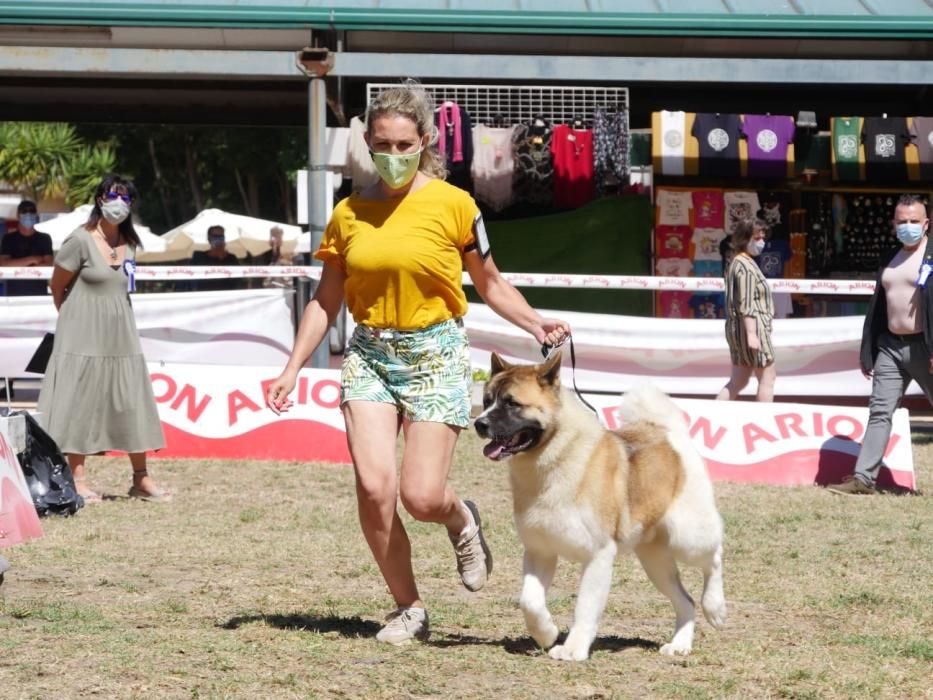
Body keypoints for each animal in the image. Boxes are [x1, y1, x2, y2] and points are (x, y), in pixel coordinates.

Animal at [474, 356, 728, 660]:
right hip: (654, 561)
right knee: (686, 600)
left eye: (512, 403)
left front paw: (572, 650)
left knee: (714, 557)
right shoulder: (540, 551)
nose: (478, 424)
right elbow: (530, 602)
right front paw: (546, 633)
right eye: (486, 400)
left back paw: (715, 608)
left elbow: (585, 608)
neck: (557, 457)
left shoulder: (599, 556)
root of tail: (666, 432)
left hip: (688, 537)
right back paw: (680, 644)